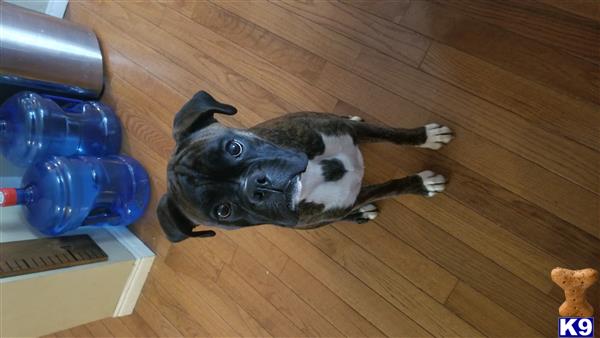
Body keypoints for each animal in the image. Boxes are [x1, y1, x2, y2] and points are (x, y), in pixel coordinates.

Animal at [157, 91, 452, 242]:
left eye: (234, 148)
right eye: (223, 211)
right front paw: (423, 184)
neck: (311, 176)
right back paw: (360, 213)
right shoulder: (349, 198)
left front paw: (427, 137)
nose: (257, 184)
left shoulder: (353, 131)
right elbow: (391, 187)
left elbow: (394, 135)